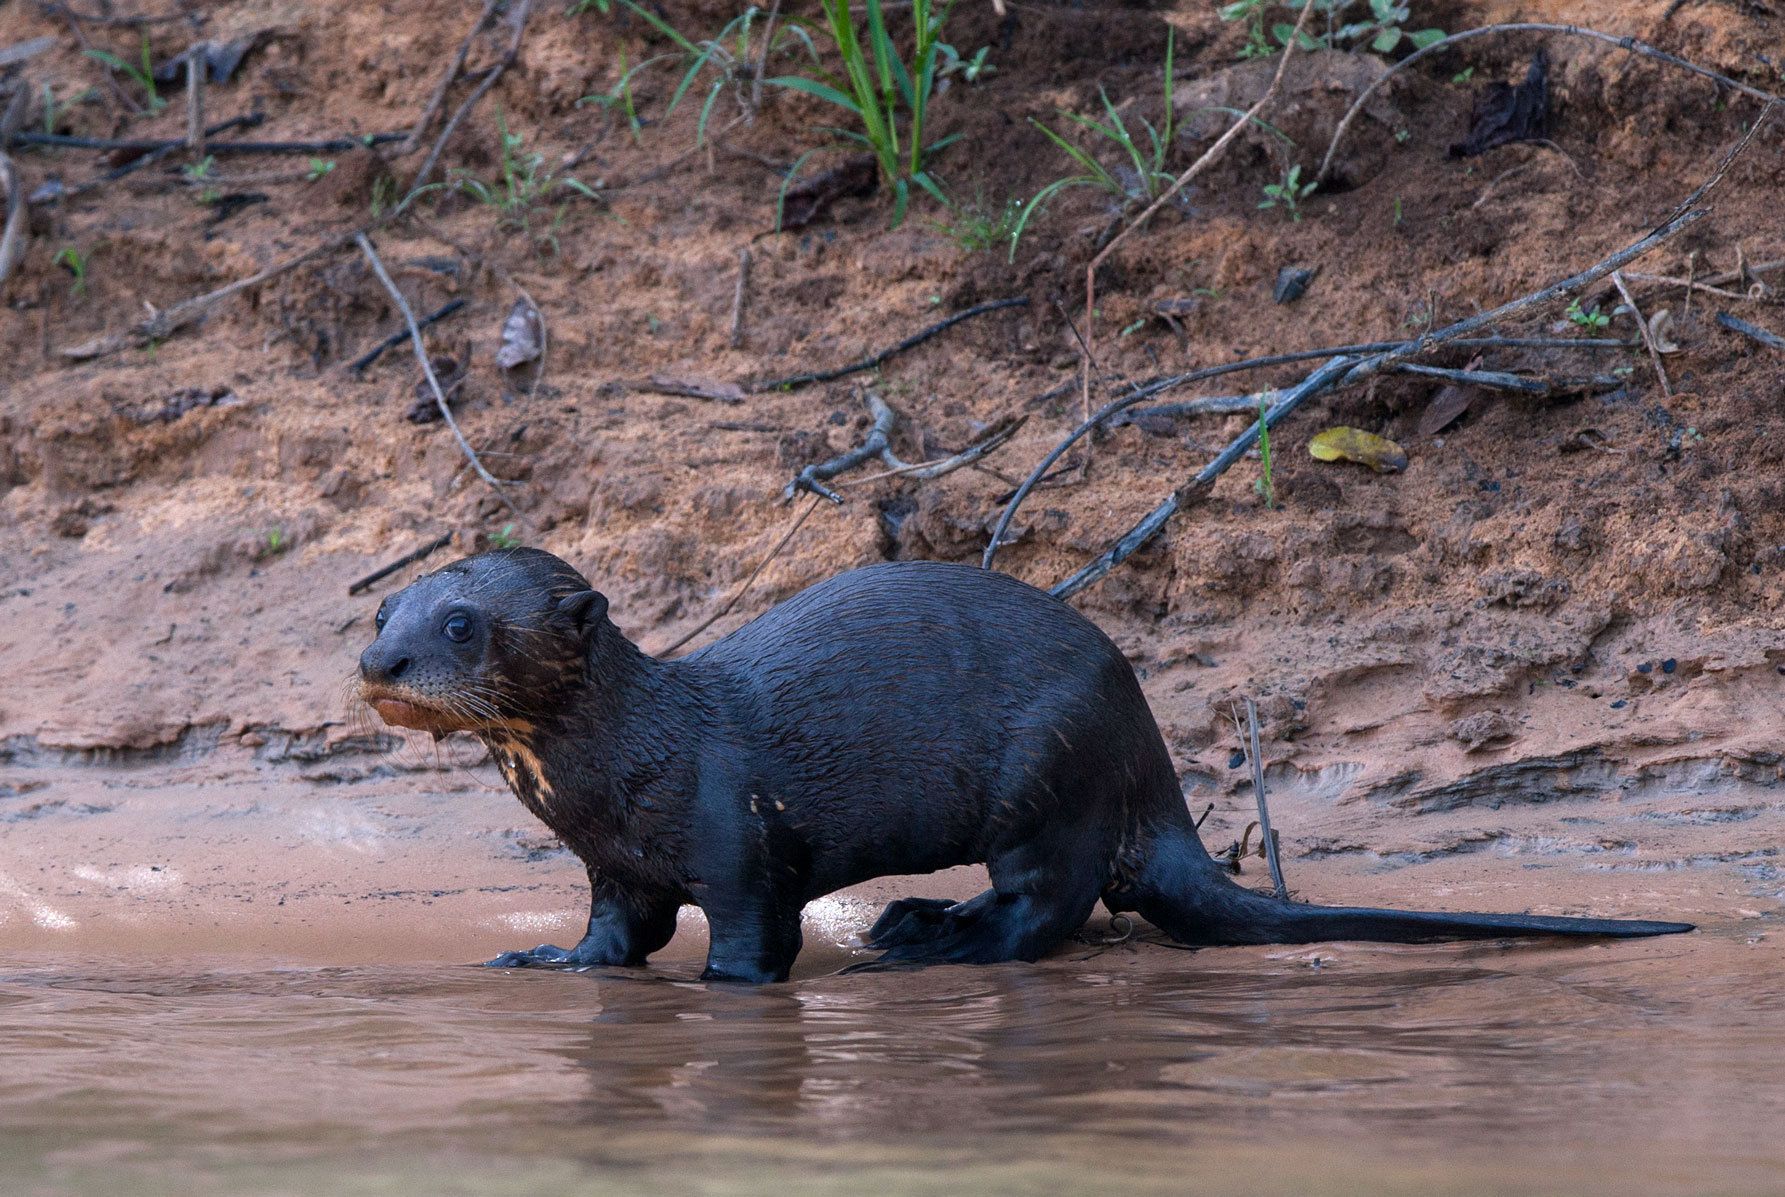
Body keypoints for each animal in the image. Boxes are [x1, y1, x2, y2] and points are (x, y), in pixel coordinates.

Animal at [357, 548, 1691, 983]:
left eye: (461, 624)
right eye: (385, 605)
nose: (376, 659)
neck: (619, 772)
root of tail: (1148, 755)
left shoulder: (736, 829)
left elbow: (750, 935)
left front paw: (724, 990)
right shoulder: (614, 865)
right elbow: (614, 934)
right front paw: (547, 960)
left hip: (1049, 767)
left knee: (1046, 908)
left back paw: (926, 943)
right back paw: (911, 926)